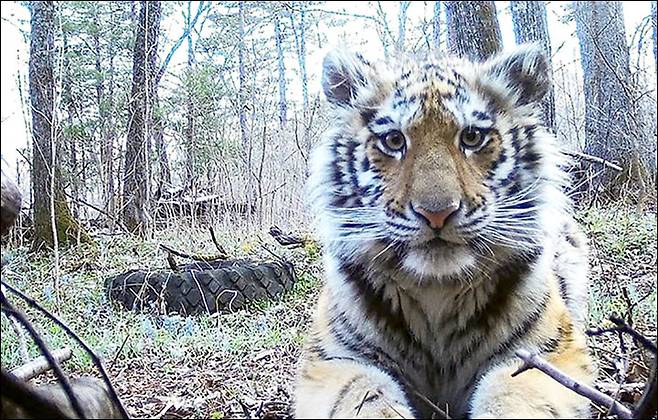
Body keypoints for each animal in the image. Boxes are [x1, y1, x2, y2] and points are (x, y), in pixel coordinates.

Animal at [293, 44, 595, 419]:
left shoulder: (549, 351)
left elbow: (513, 393)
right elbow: (361, 395)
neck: (437, 291)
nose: (437, 213)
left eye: (472, 137)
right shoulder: (332, 360)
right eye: (394, 140)